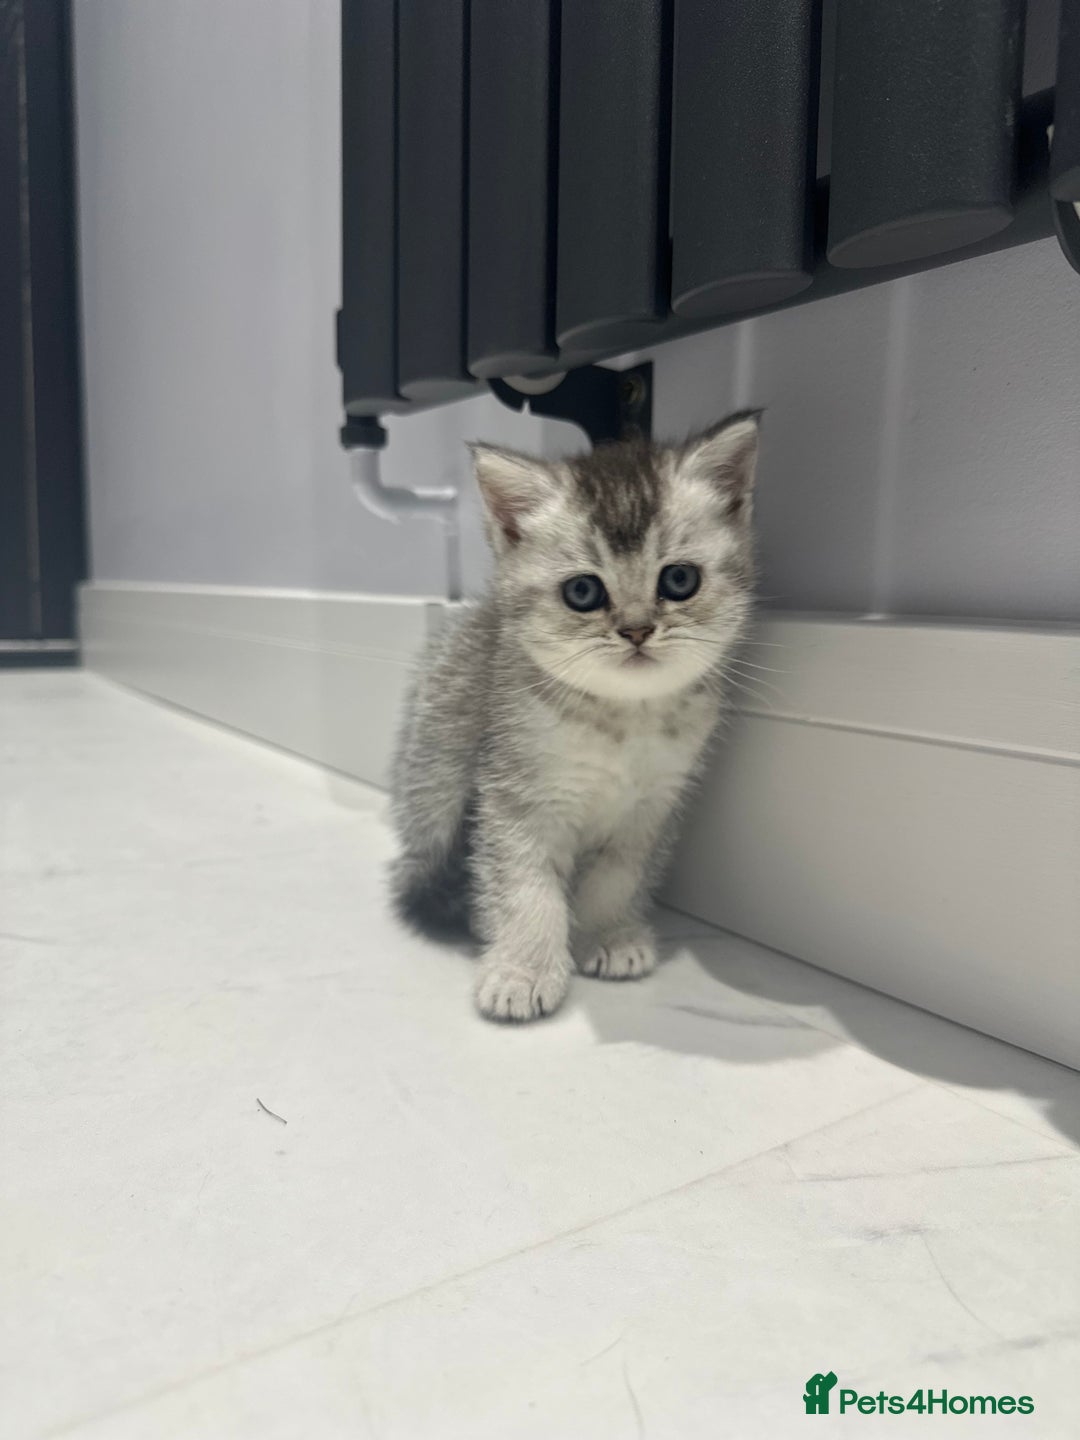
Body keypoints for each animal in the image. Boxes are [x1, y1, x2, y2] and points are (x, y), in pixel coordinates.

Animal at [390, 409, 760, 1023]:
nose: (636, 629)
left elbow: (618, 878)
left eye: (679, 580)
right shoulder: (513, 798)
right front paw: (523, 970)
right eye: (583, 591)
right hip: (436, 777)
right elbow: (525, 887)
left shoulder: (654, 806)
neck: (622, 720)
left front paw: (606, 936)